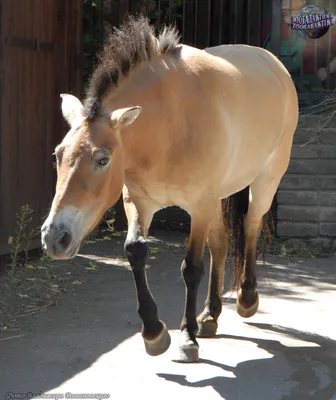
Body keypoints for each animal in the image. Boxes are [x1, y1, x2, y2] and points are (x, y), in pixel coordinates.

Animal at [40, 16, 298, 362]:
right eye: (58, 154)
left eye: (103, 159)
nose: (55, 238)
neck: (170, 123)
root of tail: (273, 65)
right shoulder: (139, 202)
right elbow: (135, 252)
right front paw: (154, 332)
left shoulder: (199, 206)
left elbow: (192, 268)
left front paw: (186, 338)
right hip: (217, 199)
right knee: (221, 243)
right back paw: (210, 315)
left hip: (265, 180)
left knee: (250, 226)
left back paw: (246, 299)